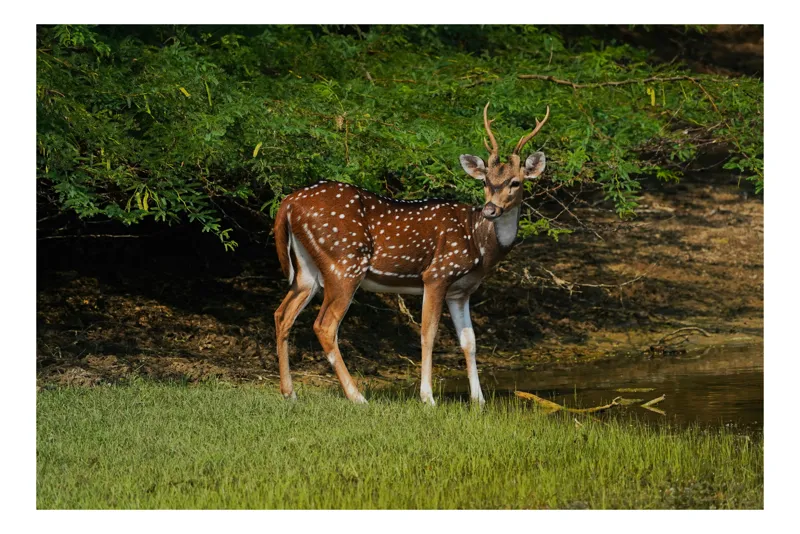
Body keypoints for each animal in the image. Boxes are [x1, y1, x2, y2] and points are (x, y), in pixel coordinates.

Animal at [273, 102, 549, 406]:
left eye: (515, 182)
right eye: (485, 181)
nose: (490, 209)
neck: (479, 243)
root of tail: (287, 204)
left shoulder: (461, 290)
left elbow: (470, 341)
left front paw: (479, 401)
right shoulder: (437, 274)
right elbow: (428, 334)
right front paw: (428, 398)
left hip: (306, 269)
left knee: (282, 314)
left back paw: (289, 393)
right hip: (344, 262)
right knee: (324, 325)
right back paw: (357, 397)